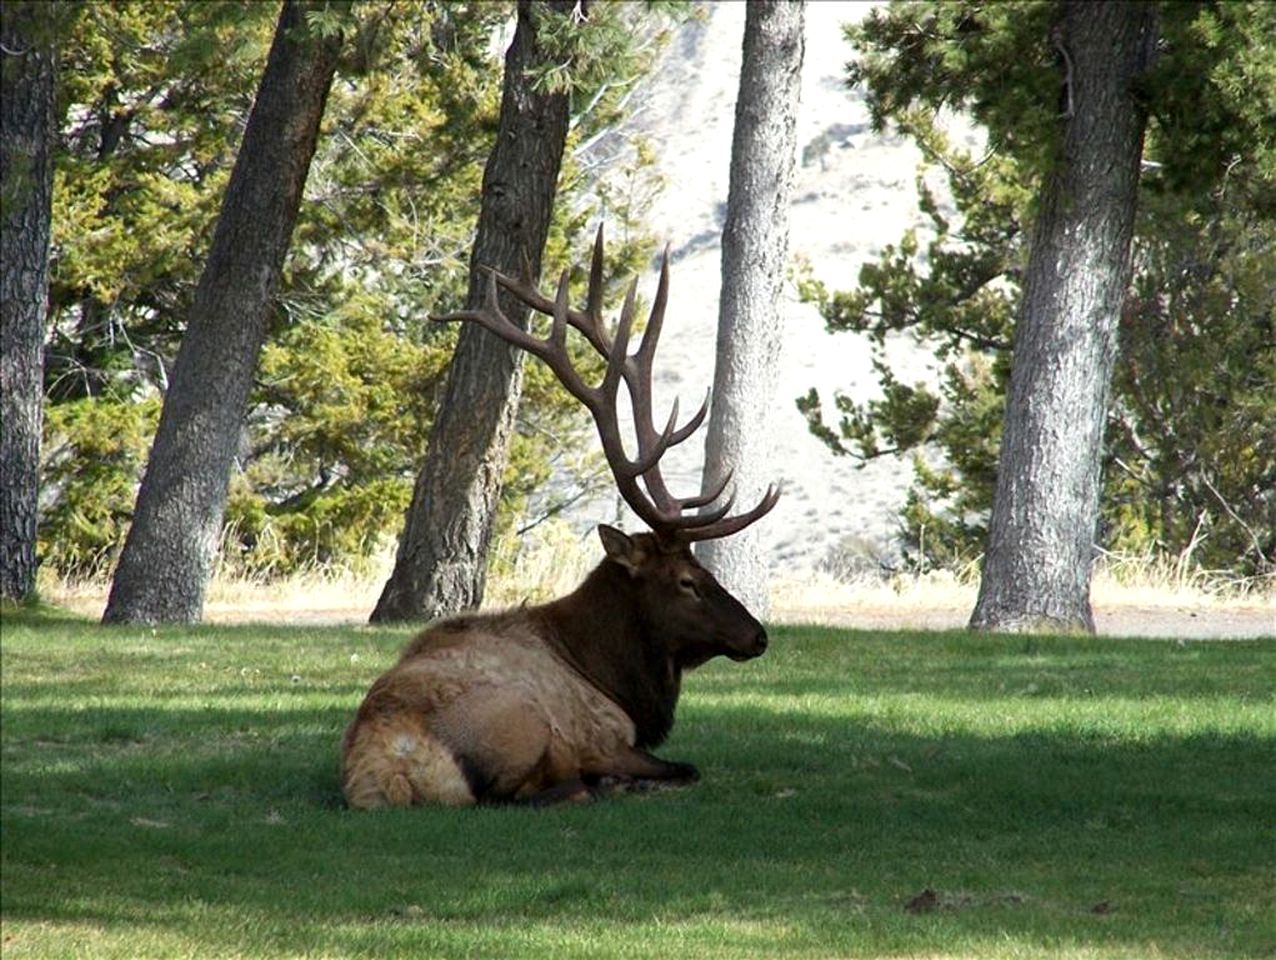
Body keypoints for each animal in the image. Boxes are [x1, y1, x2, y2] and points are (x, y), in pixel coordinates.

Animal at [341, 228, 775, 806]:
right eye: (687, 580)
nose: (758, 635)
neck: (609, 672)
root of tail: (389, 771)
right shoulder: (607, 730)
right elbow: (686, 765)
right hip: (525, 722)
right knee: (528, 792)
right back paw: (607, 784)